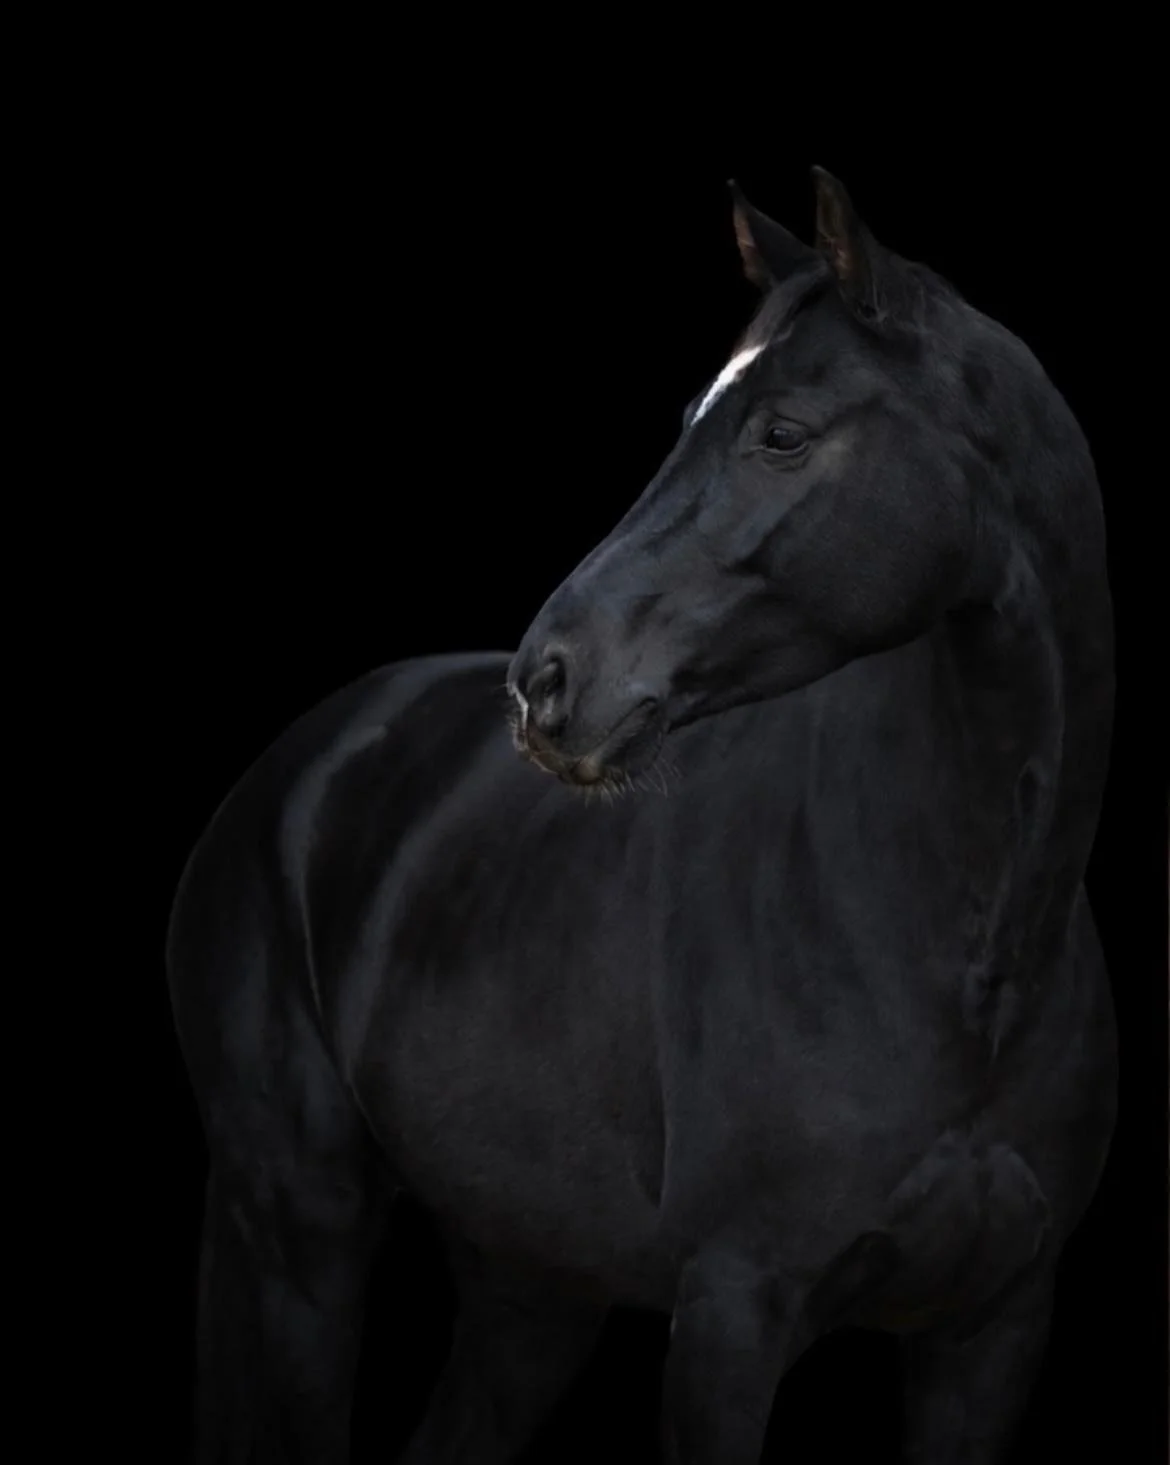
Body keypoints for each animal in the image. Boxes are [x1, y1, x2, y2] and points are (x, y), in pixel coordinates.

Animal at [167, 168, 1117, 1463]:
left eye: (782, 433)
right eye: (690, 420)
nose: (548, 680)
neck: (972, 941)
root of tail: (300, 763)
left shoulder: (993, 1330)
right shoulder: (732, 1311)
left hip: (527, 1287)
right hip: (298, 1233)